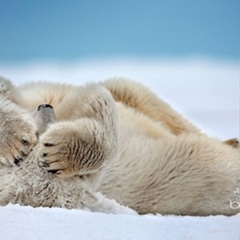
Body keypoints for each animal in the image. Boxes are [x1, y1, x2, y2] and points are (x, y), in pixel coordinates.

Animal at [0, 77, 239, 216]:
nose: (46, 107)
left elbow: (97, 99)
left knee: (141, 97)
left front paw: (50, 149)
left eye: (41, 135)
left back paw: (232, 141)